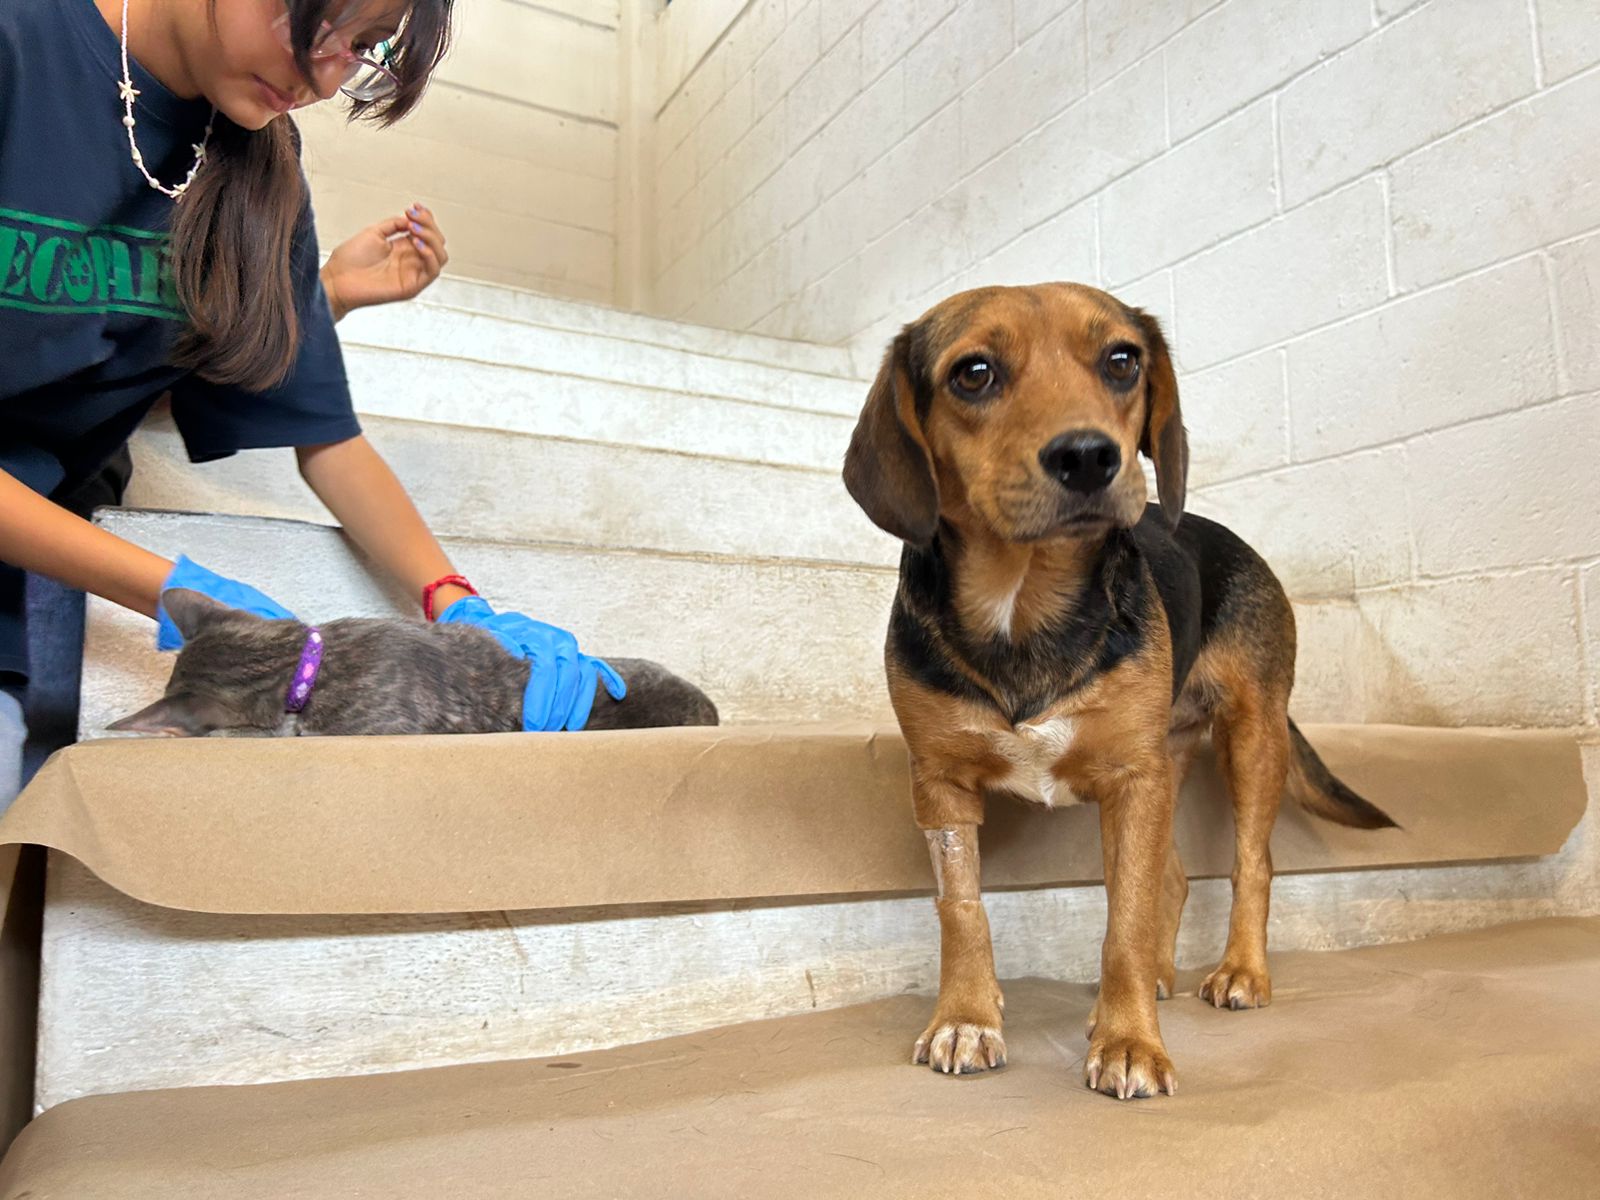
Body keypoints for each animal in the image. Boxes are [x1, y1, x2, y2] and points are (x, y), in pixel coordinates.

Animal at [844, 281, 1395, 1100]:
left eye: (1122, 360)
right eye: (973, 373)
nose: (1088, 456)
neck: (1024, 602)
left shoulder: (1133, 781)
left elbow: (1123, 925)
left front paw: (1129, 1041)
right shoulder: (940, 784)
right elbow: (962, 910)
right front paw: (966, 1018)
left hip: (1249, 735)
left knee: (1251, 863)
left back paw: (1240, 971)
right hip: (1168, 764)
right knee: (1173, 878)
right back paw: (1163, 977)